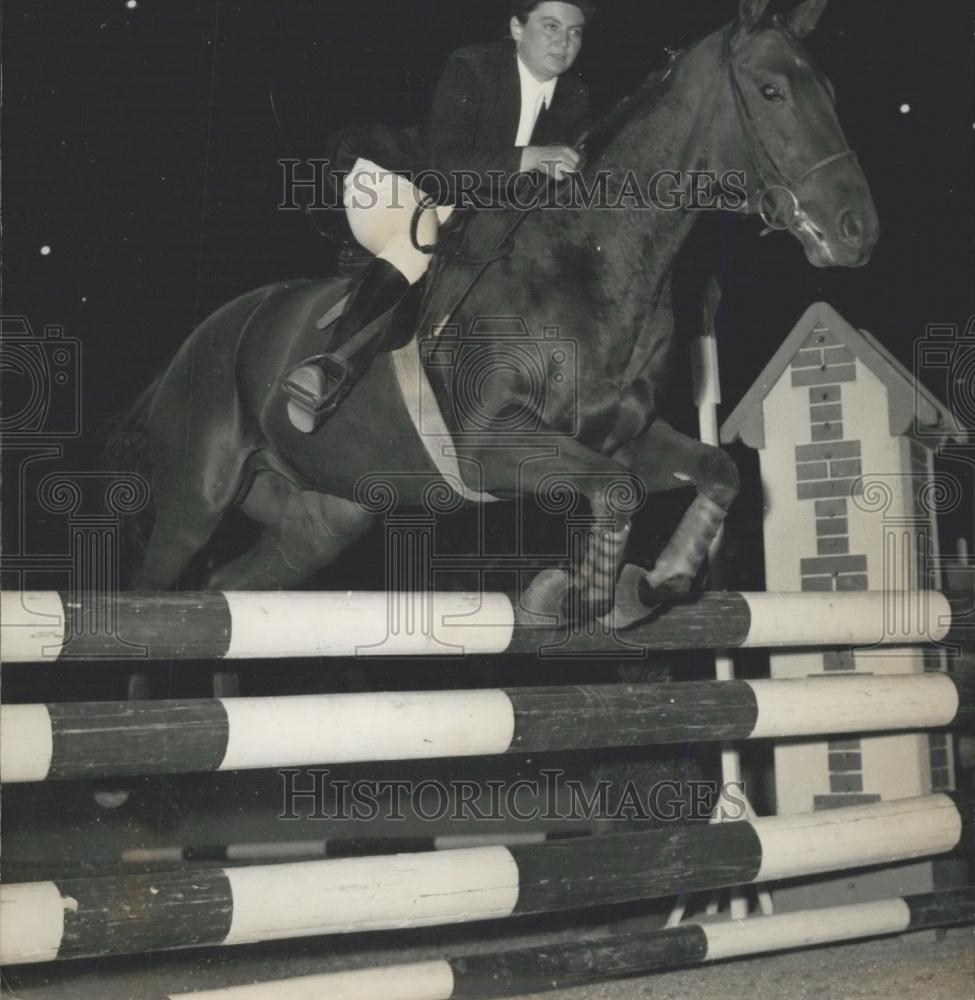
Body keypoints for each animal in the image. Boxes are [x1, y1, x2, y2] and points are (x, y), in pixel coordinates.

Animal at [120, 0, 876, 624]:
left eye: (832, 93)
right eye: (771, 91)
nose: (857, 231)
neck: (590, 259)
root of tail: (204, 337)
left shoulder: (620, 436)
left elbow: (715, 472)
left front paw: (658, 579)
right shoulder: (493, 444)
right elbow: (618, 492)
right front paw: (571, 595)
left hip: (321, 519)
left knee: (229, 588)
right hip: (195, 499)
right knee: (156, 590)